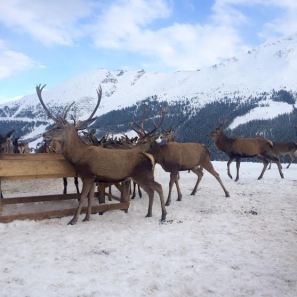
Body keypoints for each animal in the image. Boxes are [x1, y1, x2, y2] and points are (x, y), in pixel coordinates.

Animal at [35, 83, 165, 224]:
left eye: (58, 127)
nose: (44, 134)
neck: (78, 156)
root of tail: (150, 157)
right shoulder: (93, 179)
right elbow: (90, 198)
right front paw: (87, 218)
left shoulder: (88, 175)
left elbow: (82, 197)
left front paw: (73, 220)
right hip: (138, 177)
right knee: (151, 191)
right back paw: (149, 213)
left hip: (143, 175)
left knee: (159, 187)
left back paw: (163, 215)